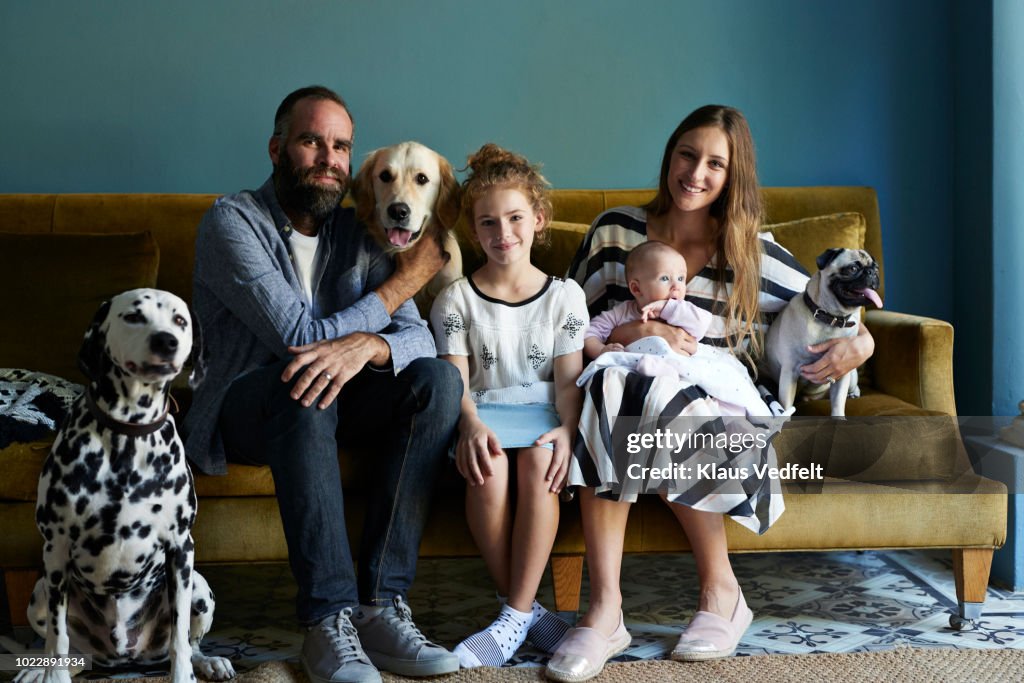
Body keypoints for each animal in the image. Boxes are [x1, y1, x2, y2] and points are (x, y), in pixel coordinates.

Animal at [17, 288, 234, 683]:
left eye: (179, 320)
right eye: (133, 316)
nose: (166, 341)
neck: (129, 435)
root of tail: (124, 658)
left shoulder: (181, 549)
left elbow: (180, 637)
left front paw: (184, 674)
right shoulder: (56, 549)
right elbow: (57, 638)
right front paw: (51, 676)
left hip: (198, 585)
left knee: (191, 641)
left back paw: (208, 662)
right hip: (39, 594)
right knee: (62, 647)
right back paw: (37, 672)